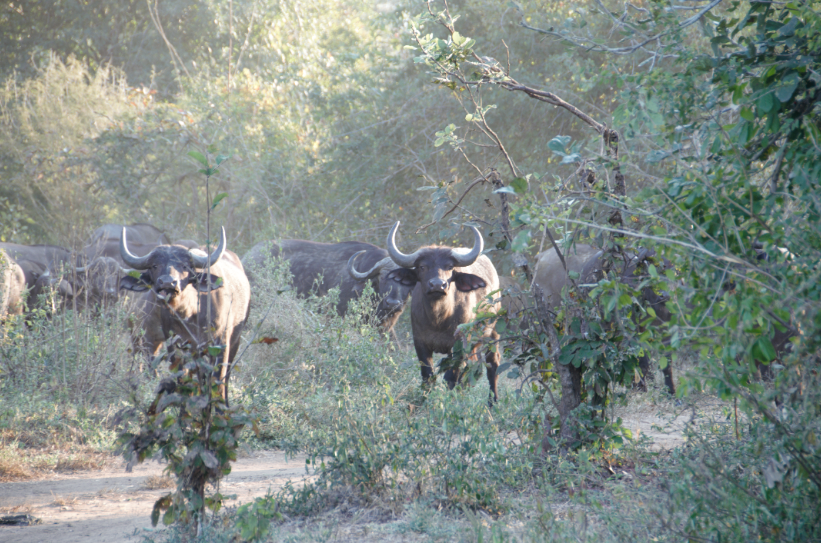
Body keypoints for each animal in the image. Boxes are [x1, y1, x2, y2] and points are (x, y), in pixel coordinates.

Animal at [119, 228, 251, 402]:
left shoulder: (221, 344)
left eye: (184, 266)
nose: (168, 282)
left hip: (235, 340)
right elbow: (182, 379)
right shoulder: (172, 345)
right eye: (155, 265)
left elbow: (218, 381)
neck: (191, 313)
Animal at [385, 222, 502, 402]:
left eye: (449, 267)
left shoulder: (459, 344)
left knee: (492, 364)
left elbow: (451, 377)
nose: (438, 285)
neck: (439, 319)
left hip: (492, 331)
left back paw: (492, 401)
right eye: (422, 266)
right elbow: (428, 376)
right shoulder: (420, 343)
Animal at [532, 244, 675, 395]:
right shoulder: (630, 330)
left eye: (670, 272)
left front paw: (670, 391)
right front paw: (640, 388)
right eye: (648, 271)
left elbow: (667, 363)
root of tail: (541, 256)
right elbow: (641, 361)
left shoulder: (666, 330)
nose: (664, 295)